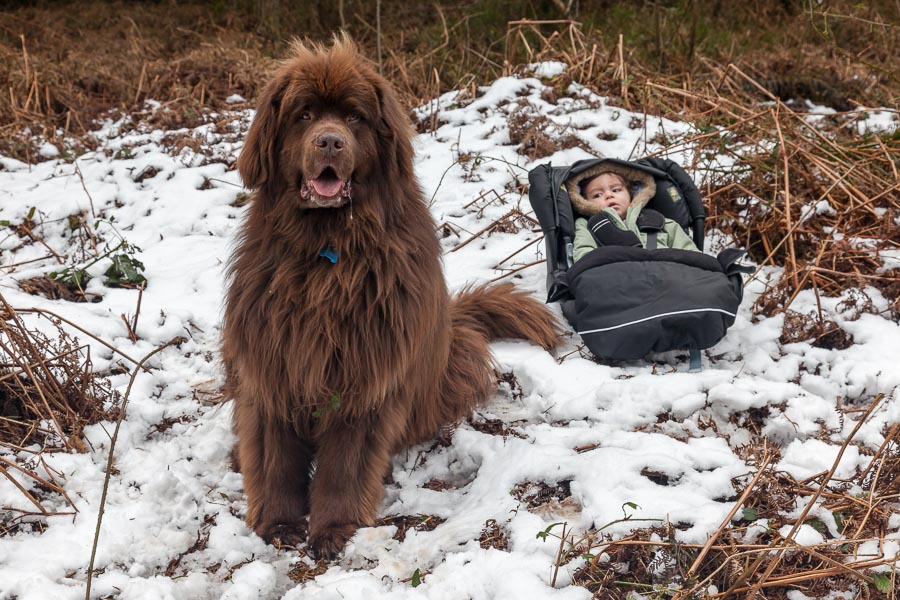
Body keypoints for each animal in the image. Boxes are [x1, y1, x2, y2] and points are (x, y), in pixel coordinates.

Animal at [221, 36, 560, 564]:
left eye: (354, 117)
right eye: (303, 114)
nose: (330, 141)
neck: (326, 252)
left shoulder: (366, 372)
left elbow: (345, 463)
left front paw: (334, 528)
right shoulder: (272, 361)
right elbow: (274, 454)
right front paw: (278, 523)